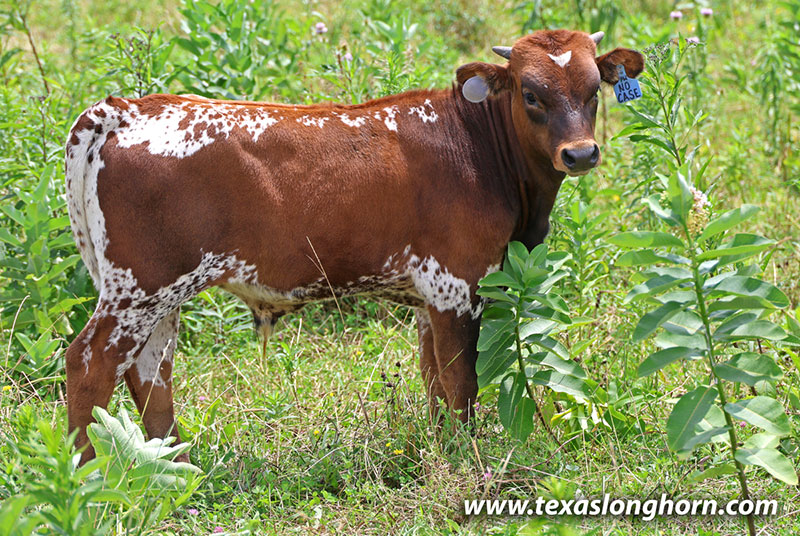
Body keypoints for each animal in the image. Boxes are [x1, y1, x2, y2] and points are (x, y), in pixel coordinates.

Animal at [64, 29, 643, 462]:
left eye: (594, 89)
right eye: (530, 93)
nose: (581, 154)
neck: (475, 145)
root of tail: (129, 107)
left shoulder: (428, 298)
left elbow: (435, 381)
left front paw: (442, 451)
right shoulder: (458, 286)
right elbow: (461, 383)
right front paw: (465, 457)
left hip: (160, 294)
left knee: (150, 371)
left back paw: (177, 469)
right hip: (141, 287)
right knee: (91, 364)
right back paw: (84, 473)